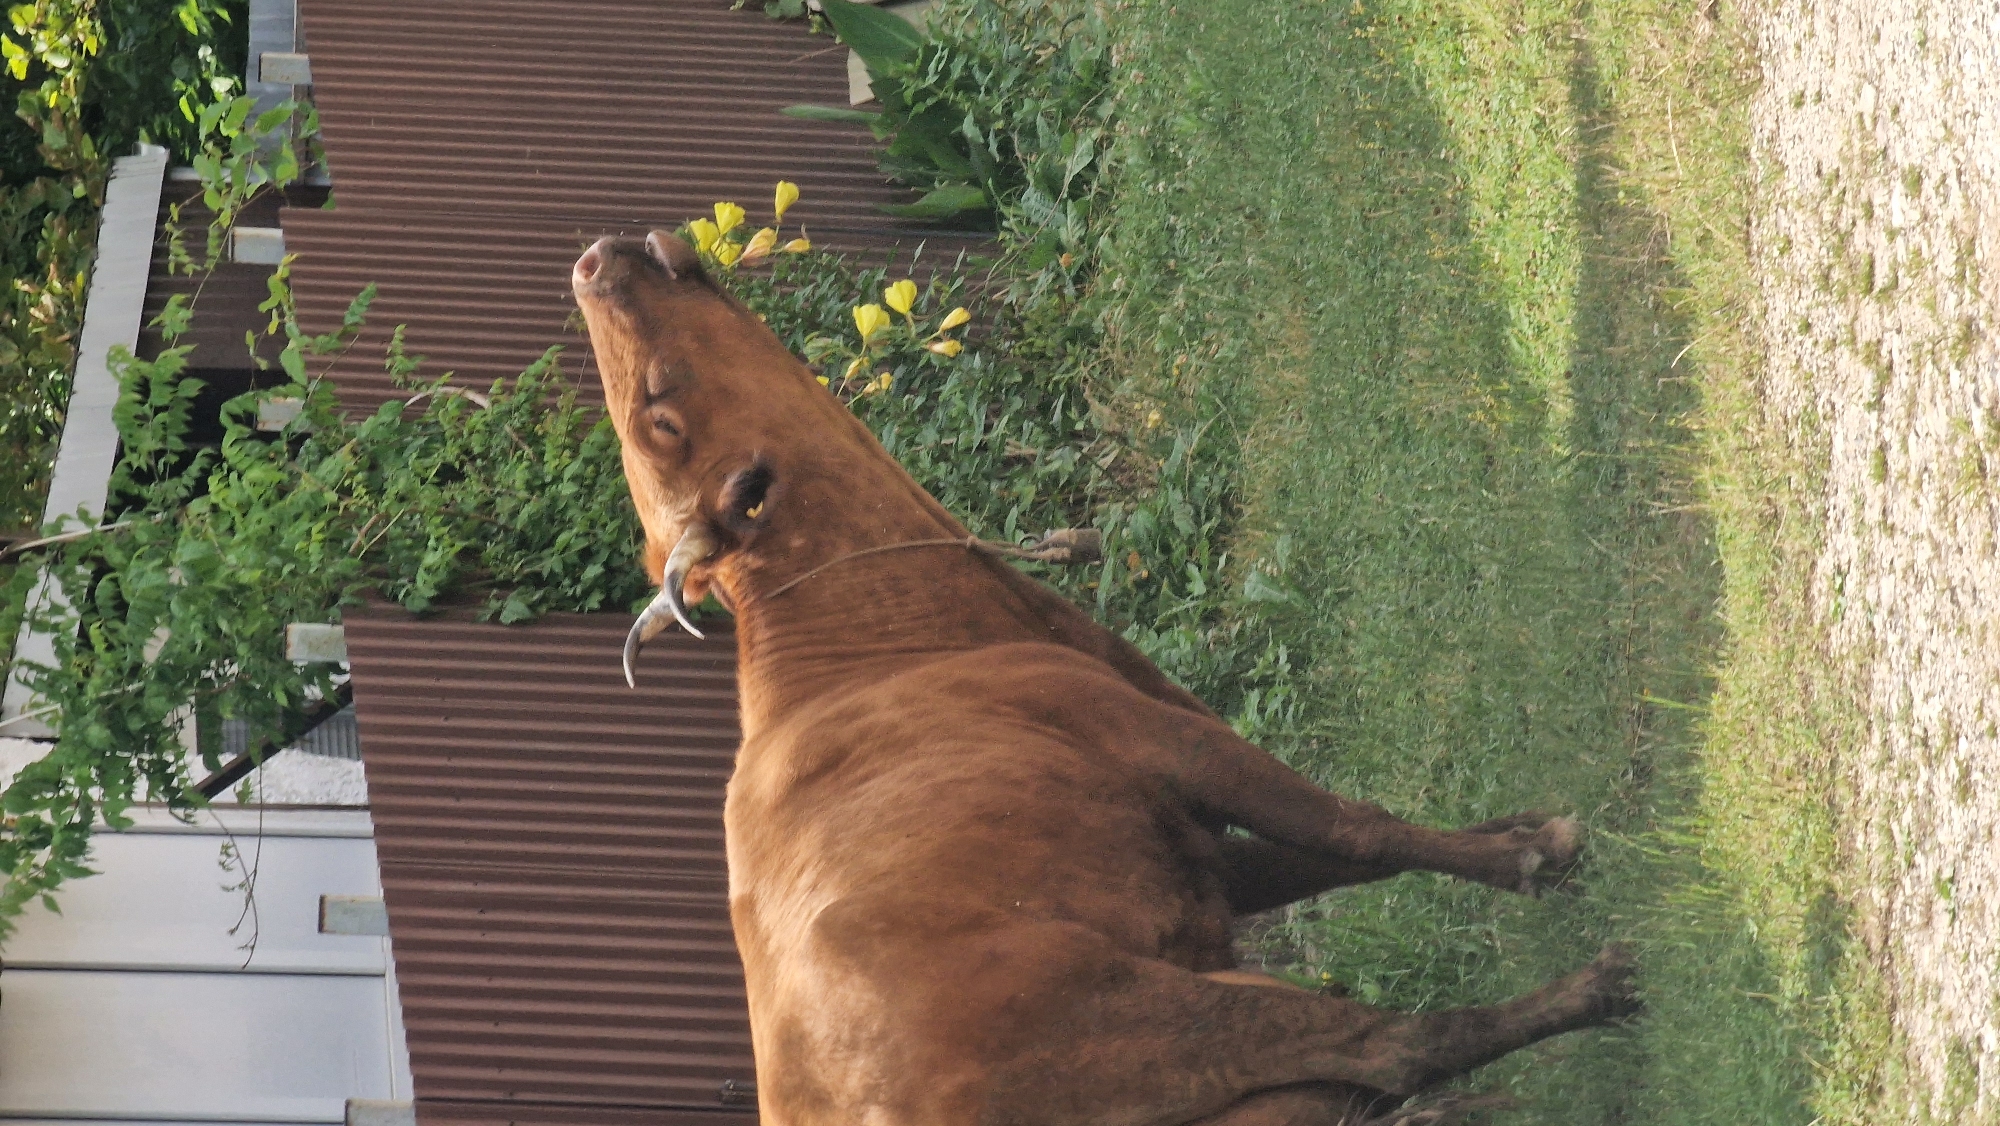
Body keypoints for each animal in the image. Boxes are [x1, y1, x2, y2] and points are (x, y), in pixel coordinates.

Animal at [571, 231, 1637, 1126]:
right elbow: (1354, 826)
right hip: (1143, 1017)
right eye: (663, 412)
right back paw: (1594, 989)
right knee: (1388, 1046)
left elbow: (1341, 856)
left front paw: (1516, 831)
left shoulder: (1192, 852)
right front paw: (1531, 857)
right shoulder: (1157, 736)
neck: (884, 637)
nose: (589, 262)